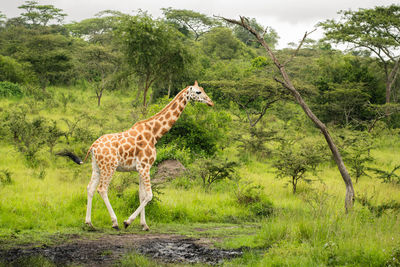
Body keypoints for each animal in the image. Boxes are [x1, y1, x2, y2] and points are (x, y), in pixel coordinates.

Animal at [65, 81, 214, 230]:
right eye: (198, 92)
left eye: (203, 89)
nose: (211, 102)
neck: (154, 134)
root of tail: (93, 146)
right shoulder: (145, 166)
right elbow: (149, 195)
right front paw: (127, 222)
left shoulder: (140, 168)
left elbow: (142, 195)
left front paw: (144, 224)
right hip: (109, 167)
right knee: (102, 189)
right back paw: (115, 222)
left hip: (96, 167)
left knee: (90, 188)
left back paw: (89, 222)